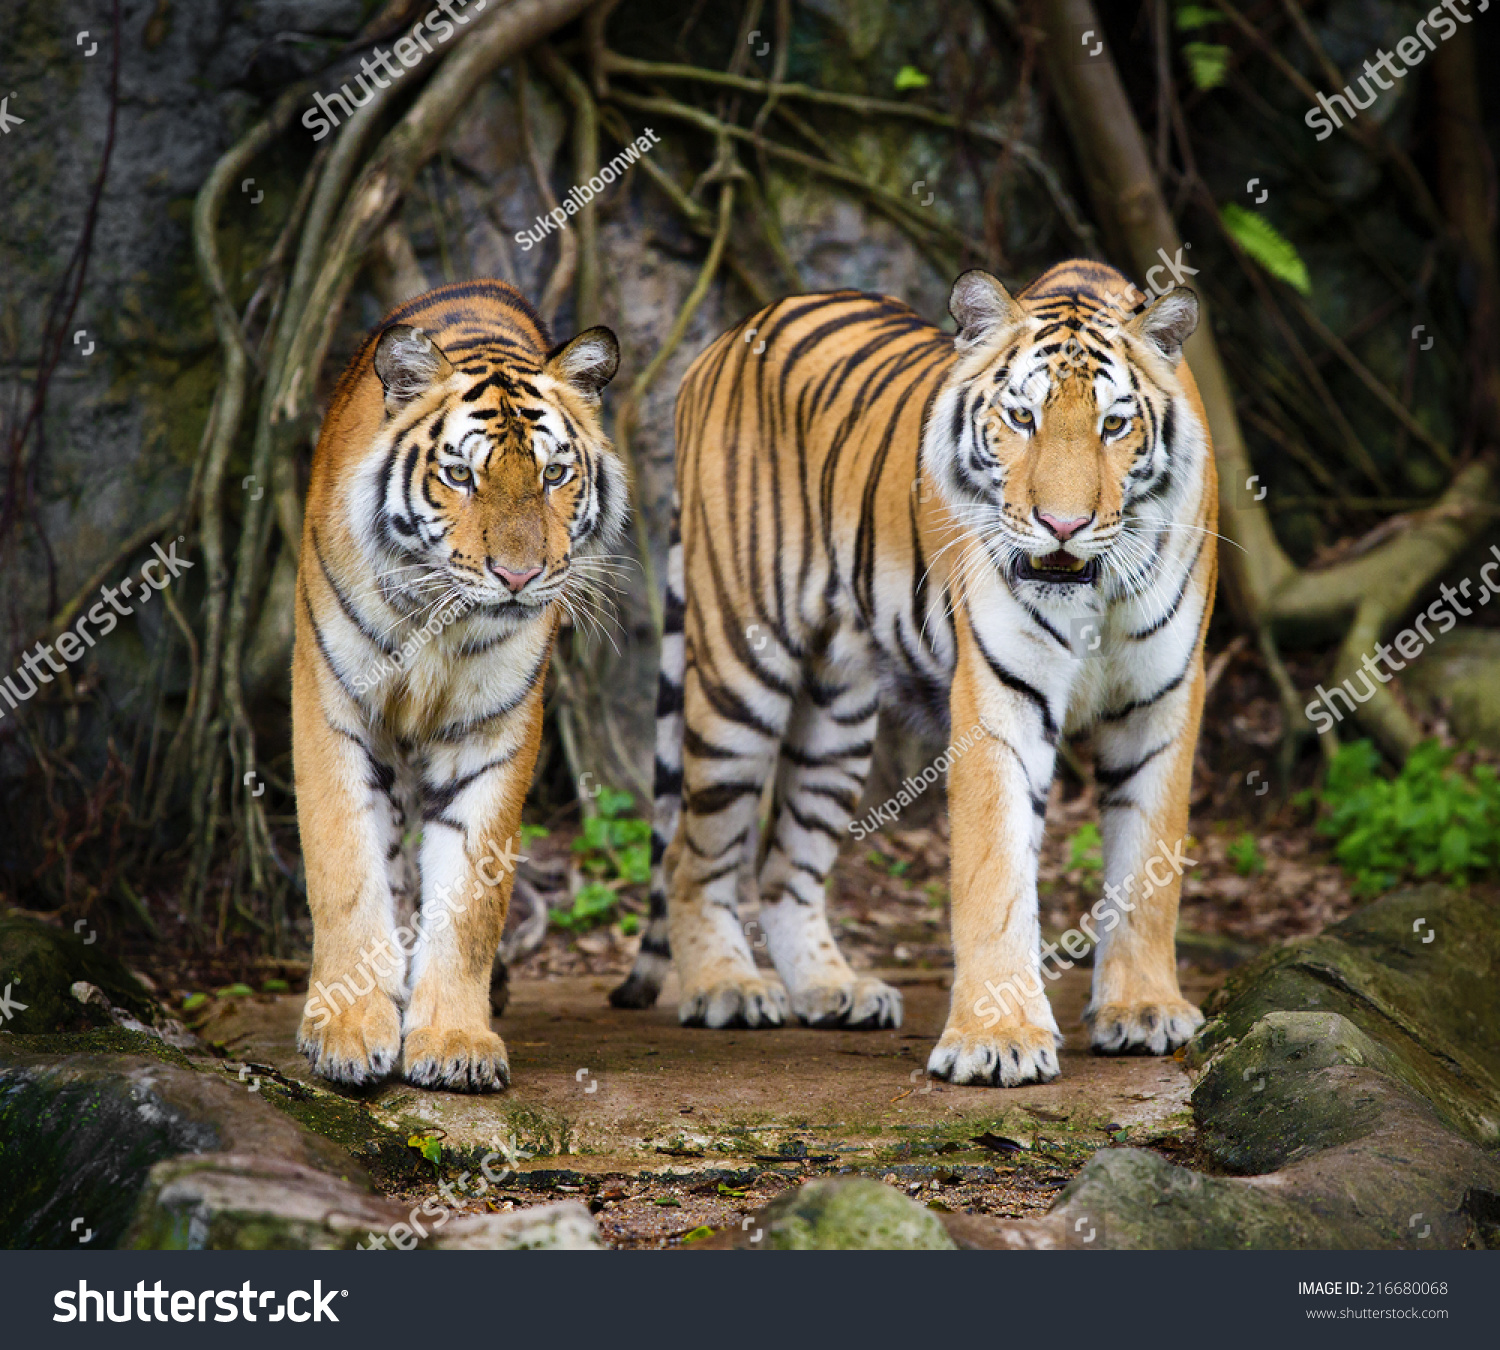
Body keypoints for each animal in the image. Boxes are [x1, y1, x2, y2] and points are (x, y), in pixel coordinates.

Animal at [289, 279, 624, 1092]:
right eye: (462, 475)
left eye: (555, 475)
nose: (520, 576)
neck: (438, 622)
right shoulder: (334, 707)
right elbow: (346, 869)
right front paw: (346, 1030)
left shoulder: (491, 732)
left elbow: (471, 898)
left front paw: (452, 1040)